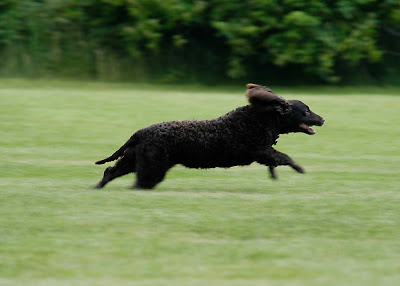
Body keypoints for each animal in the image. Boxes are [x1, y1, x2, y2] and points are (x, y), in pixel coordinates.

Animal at [94, 84, 324, 189]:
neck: (259, 118)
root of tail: (141, 132)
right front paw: (300, 169)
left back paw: (96, 188)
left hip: (134, 160)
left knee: (110, 171)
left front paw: (275, 175)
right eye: (306, 111)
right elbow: (285, 157)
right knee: (139, 183)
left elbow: (276, 161)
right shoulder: (261, 151)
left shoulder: (264, 153)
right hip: (152, 166)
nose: (322, 119)